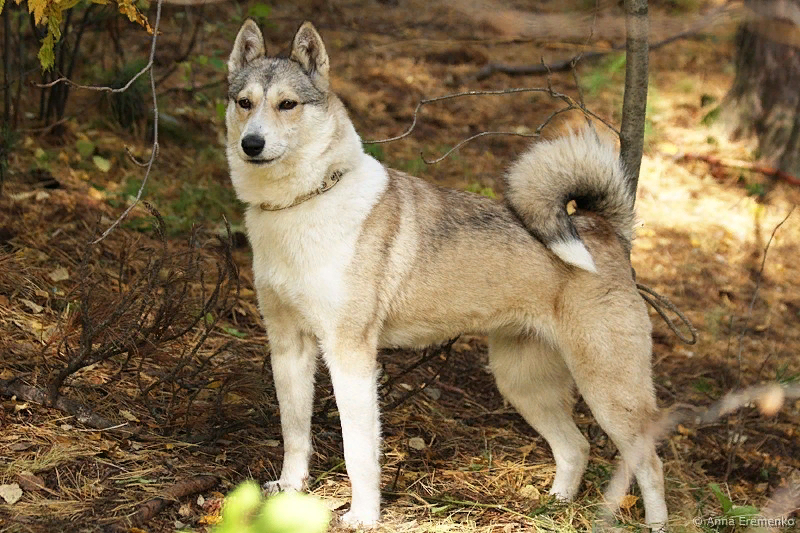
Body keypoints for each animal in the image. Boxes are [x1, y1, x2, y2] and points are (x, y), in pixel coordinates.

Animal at [225, 19, 668, 528]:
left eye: (287, 105)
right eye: (245, 103)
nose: (251, 144)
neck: (304, 202)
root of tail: (604, 229)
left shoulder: (350, 354)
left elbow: (359, 452)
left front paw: (363, 515)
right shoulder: (288, 347)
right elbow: (294, 431)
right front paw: (290, 490)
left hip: (609, 390)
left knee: (649, 462)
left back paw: (655, 522)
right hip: (522, 383)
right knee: (575, 447)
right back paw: (552, 505)